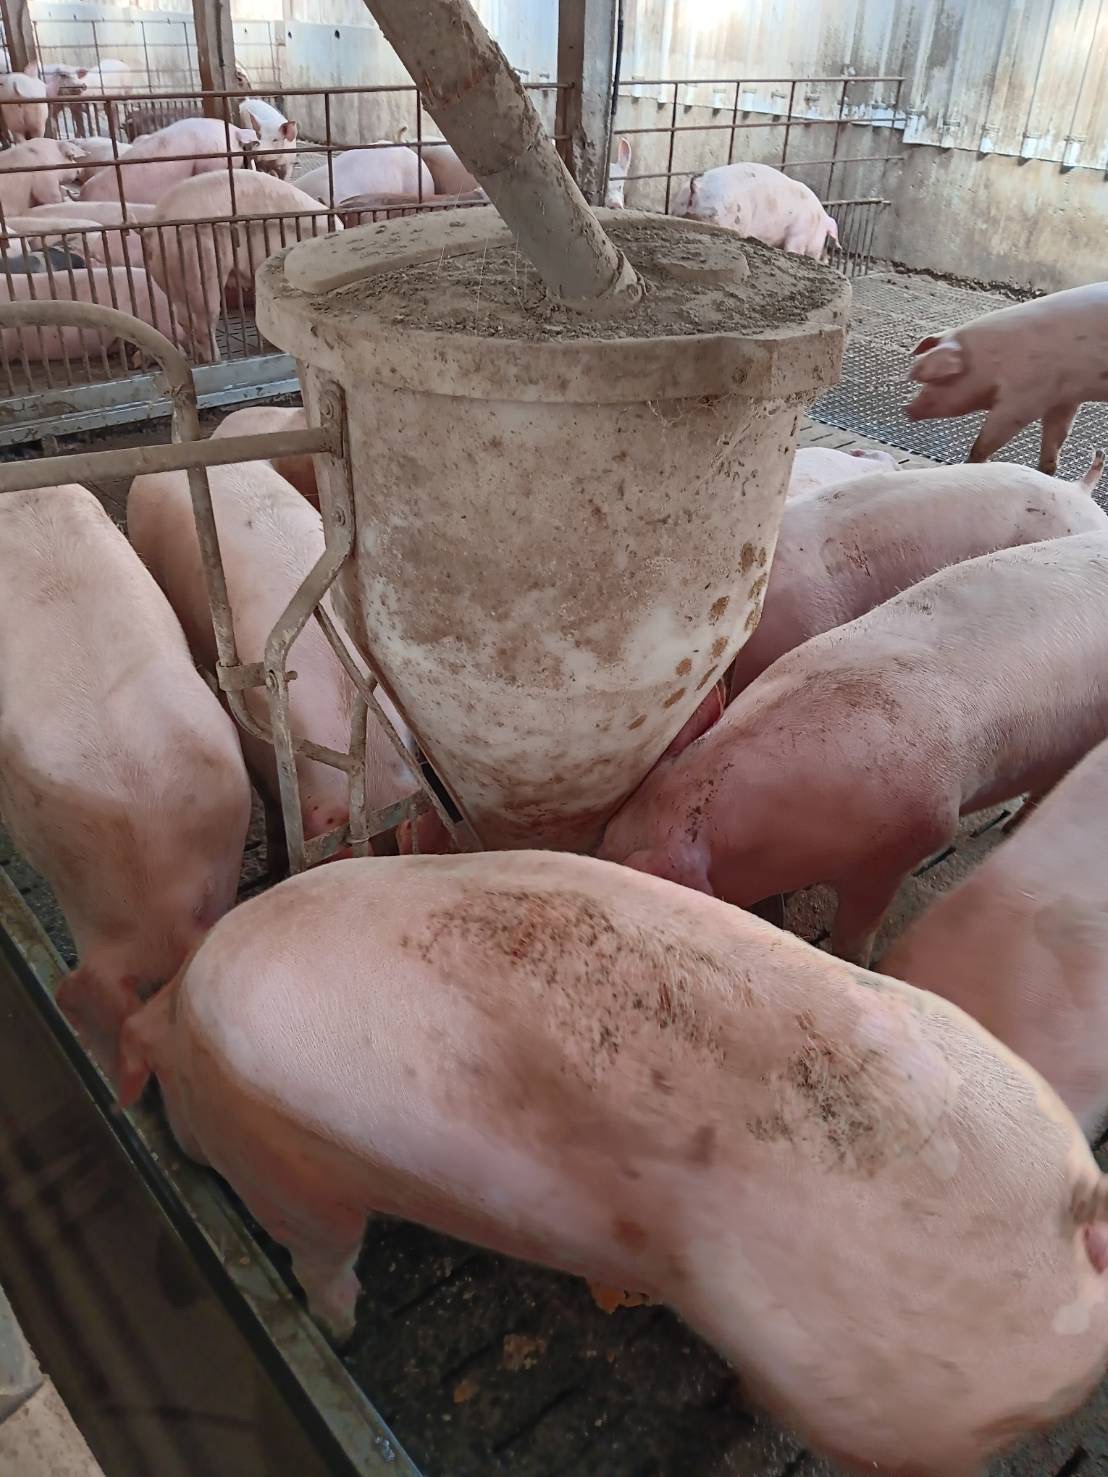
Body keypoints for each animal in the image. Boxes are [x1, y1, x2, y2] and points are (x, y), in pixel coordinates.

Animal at [117, 848, 1108, 1475]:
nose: (179, 1129)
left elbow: (324, 1265)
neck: (186, 1046)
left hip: (884, 1409)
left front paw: (334, 1333)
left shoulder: (292, 1178)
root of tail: (1076, 1204)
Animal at [144, 170, 337, 361]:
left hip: (173, 279)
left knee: (184, 320)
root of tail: (154, 230)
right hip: (199, 264)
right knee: (203, 321)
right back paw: (215, 359)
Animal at [670, 161, 838, 261]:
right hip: (724, 218)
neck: (818, 220)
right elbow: (793, 250)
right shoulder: (799, 233)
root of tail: (696, 189)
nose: (825, 259)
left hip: (679, 207)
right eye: (825, 240)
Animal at [907, 283, 1108, 474]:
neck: (995, 359)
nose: (906, 409)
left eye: (941, 379)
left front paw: (968, 464)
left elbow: (987, 440)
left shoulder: (1025, 397)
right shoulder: (1065, 398)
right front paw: (1045, 472)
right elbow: (1057, 434)